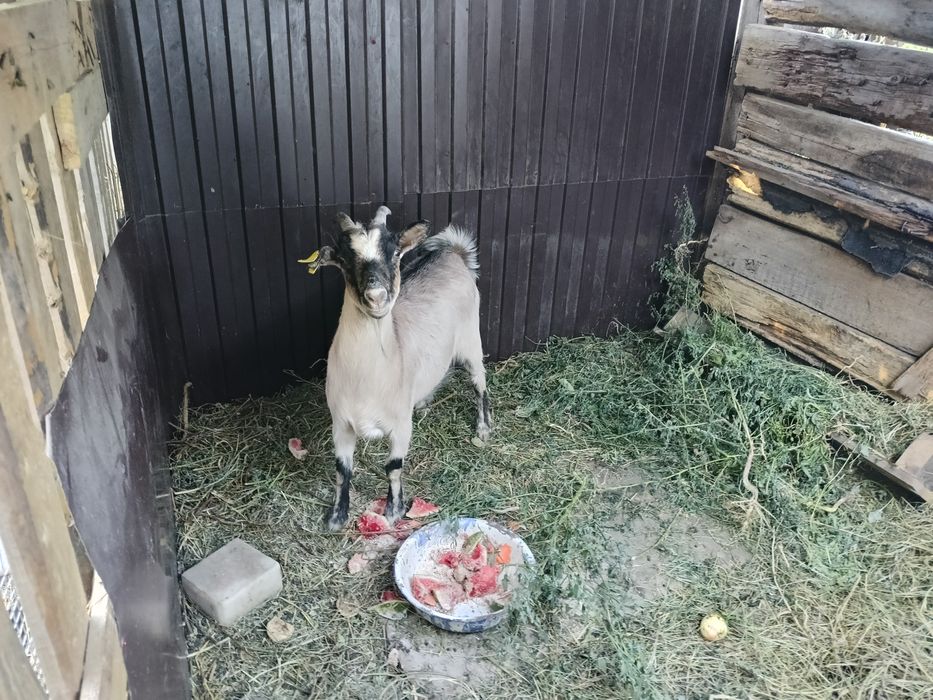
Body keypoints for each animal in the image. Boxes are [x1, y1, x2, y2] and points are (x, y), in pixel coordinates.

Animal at [308, 205, 492, 529]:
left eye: (395, 253)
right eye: (344, 258)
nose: (377, 296)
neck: (366, 378)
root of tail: (452, 253)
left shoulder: (400, 426)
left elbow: (393, 466)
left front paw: (394, 511)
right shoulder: (340, 423)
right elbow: (342, 470)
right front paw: (337, 517)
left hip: (472, 339)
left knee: (479, 382)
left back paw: (483, 428)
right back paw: (424, 401)